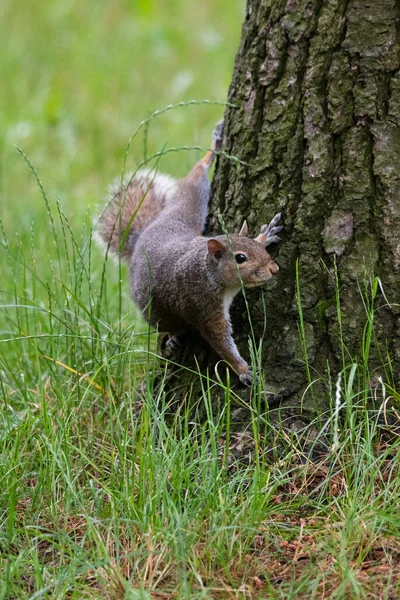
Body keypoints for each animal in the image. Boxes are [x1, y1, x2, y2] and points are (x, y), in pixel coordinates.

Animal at [96, 121, 282, 384]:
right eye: (240, 258)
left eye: (250, 243)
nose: (274, 269)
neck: (208, 271)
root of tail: (141, 238)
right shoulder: (202, 306)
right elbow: (219, 340)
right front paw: (243, 370)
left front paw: (265, 235)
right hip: (154, 308)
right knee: (165, 324)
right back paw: (173, 337)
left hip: (183, 212)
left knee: (193, 183)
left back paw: (213, 147)